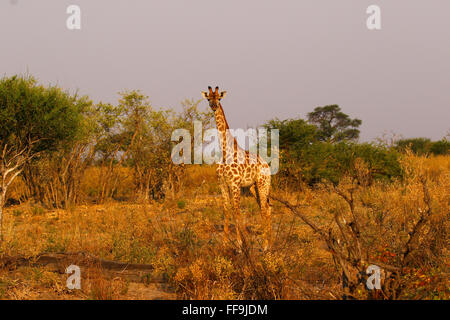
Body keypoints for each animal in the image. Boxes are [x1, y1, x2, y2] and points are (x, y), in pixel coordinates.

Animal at [202, 87, 272, 250]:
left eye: (219, 98)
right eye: (208, 98)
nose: (213, 106)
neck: (224, 151)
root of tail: (267, 166)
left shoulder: (235, 184)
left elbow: (236, 210)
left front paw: (240, 244)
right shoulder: (222, 183)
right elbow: (226, 209)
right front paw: (224, 243)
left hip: (263, 184)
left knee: (265, 209)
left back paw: (265, 245)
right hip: (253, 187)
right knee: (266, 208)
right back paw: (271, 242)